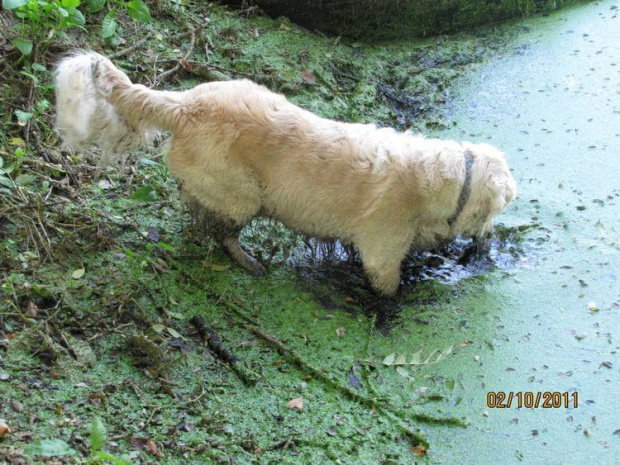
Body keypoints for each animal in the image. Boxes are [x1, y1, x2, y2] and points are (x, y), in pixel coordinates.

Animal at [55, 52, 516, 296]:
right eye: (497, 211)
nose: (489, 240)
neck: (445, 177)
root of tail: (184, 105)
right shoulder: (382, 252)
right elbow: (387, 282)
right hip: (242, 194)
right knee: (224, 231)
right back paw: (248, 260)